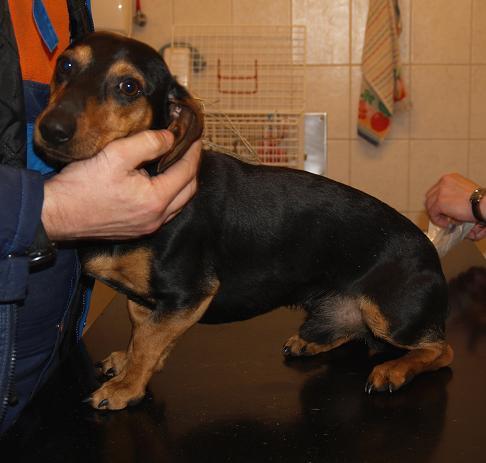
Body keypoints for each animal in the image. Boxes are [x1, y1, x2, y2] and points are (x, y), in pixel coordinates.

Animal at [34, 32, 453, 410]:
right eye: (65, 65)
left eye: (128, 86)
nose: (51, 129)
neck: (150, 170)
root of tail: (430, 252)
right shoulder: (146, 301)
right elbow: (144, 337)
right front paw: (128, 363)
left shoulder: (189, 294)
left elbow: (149, 343)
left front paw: (126, 387)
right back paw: (312, 341)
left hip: (389, 315)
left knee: (440, 350)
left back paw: (394, 371)